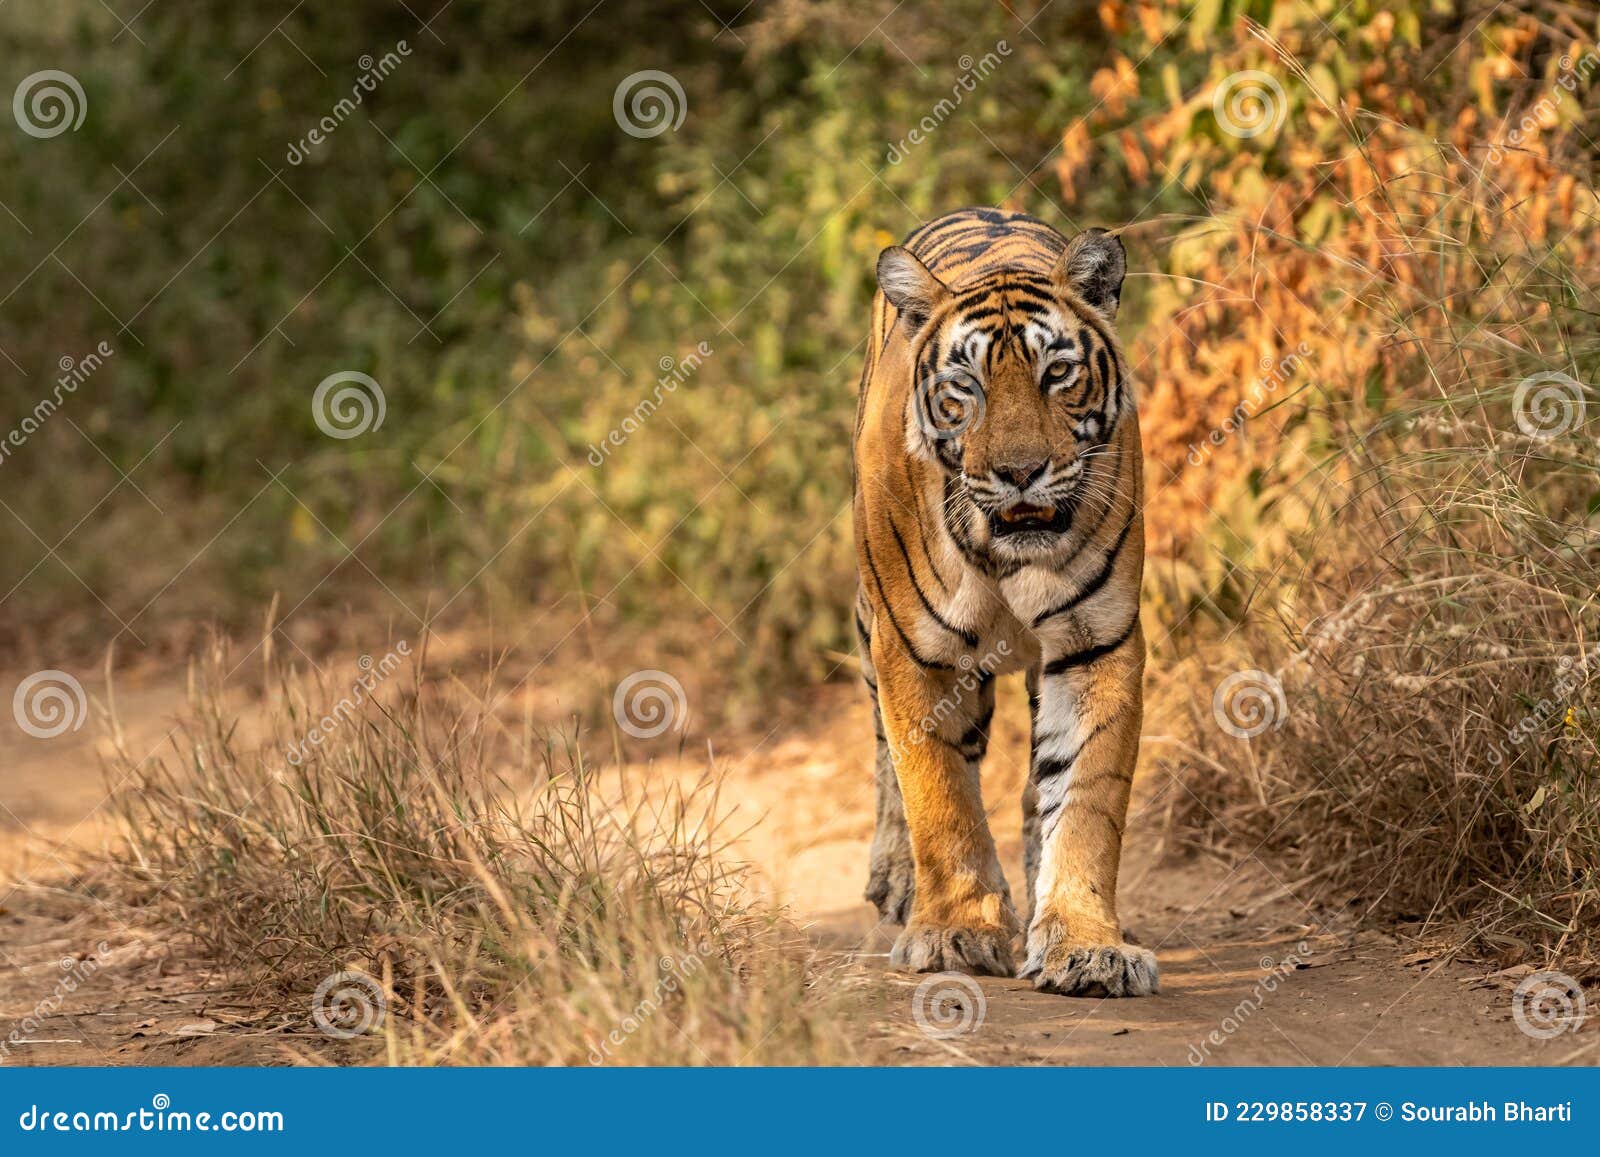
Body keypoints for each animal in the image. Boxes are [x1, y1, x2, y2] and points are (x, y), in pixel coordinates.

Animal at [857, 206, 1158, 998]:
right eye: (966, 385)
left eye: (1058, 373)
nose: (1021, 471)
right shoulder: (913, 652)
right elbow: (938, 793)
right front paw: (955, 932)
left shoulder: (1097, 642)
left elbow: (1084, 798)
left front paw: (1085, 943)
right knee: (888, 755)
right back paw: (897, 880)